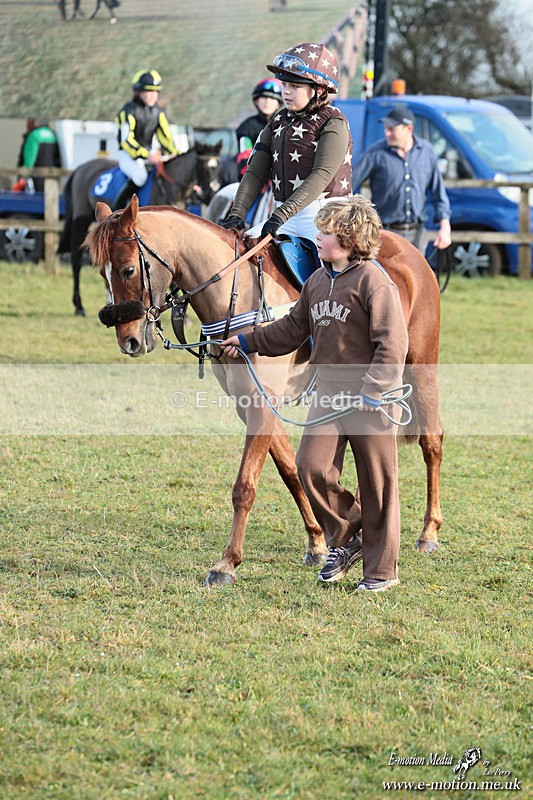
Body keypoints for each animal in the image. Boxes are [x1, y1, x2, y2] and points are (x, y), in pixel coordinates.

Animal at [59, 141, 223, 316]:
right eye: (203, 167)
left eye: (218, 166)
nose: (212, 192)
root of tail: (81, 168)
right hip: (80, 220)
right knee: (76, 261)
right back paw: (79, 306)